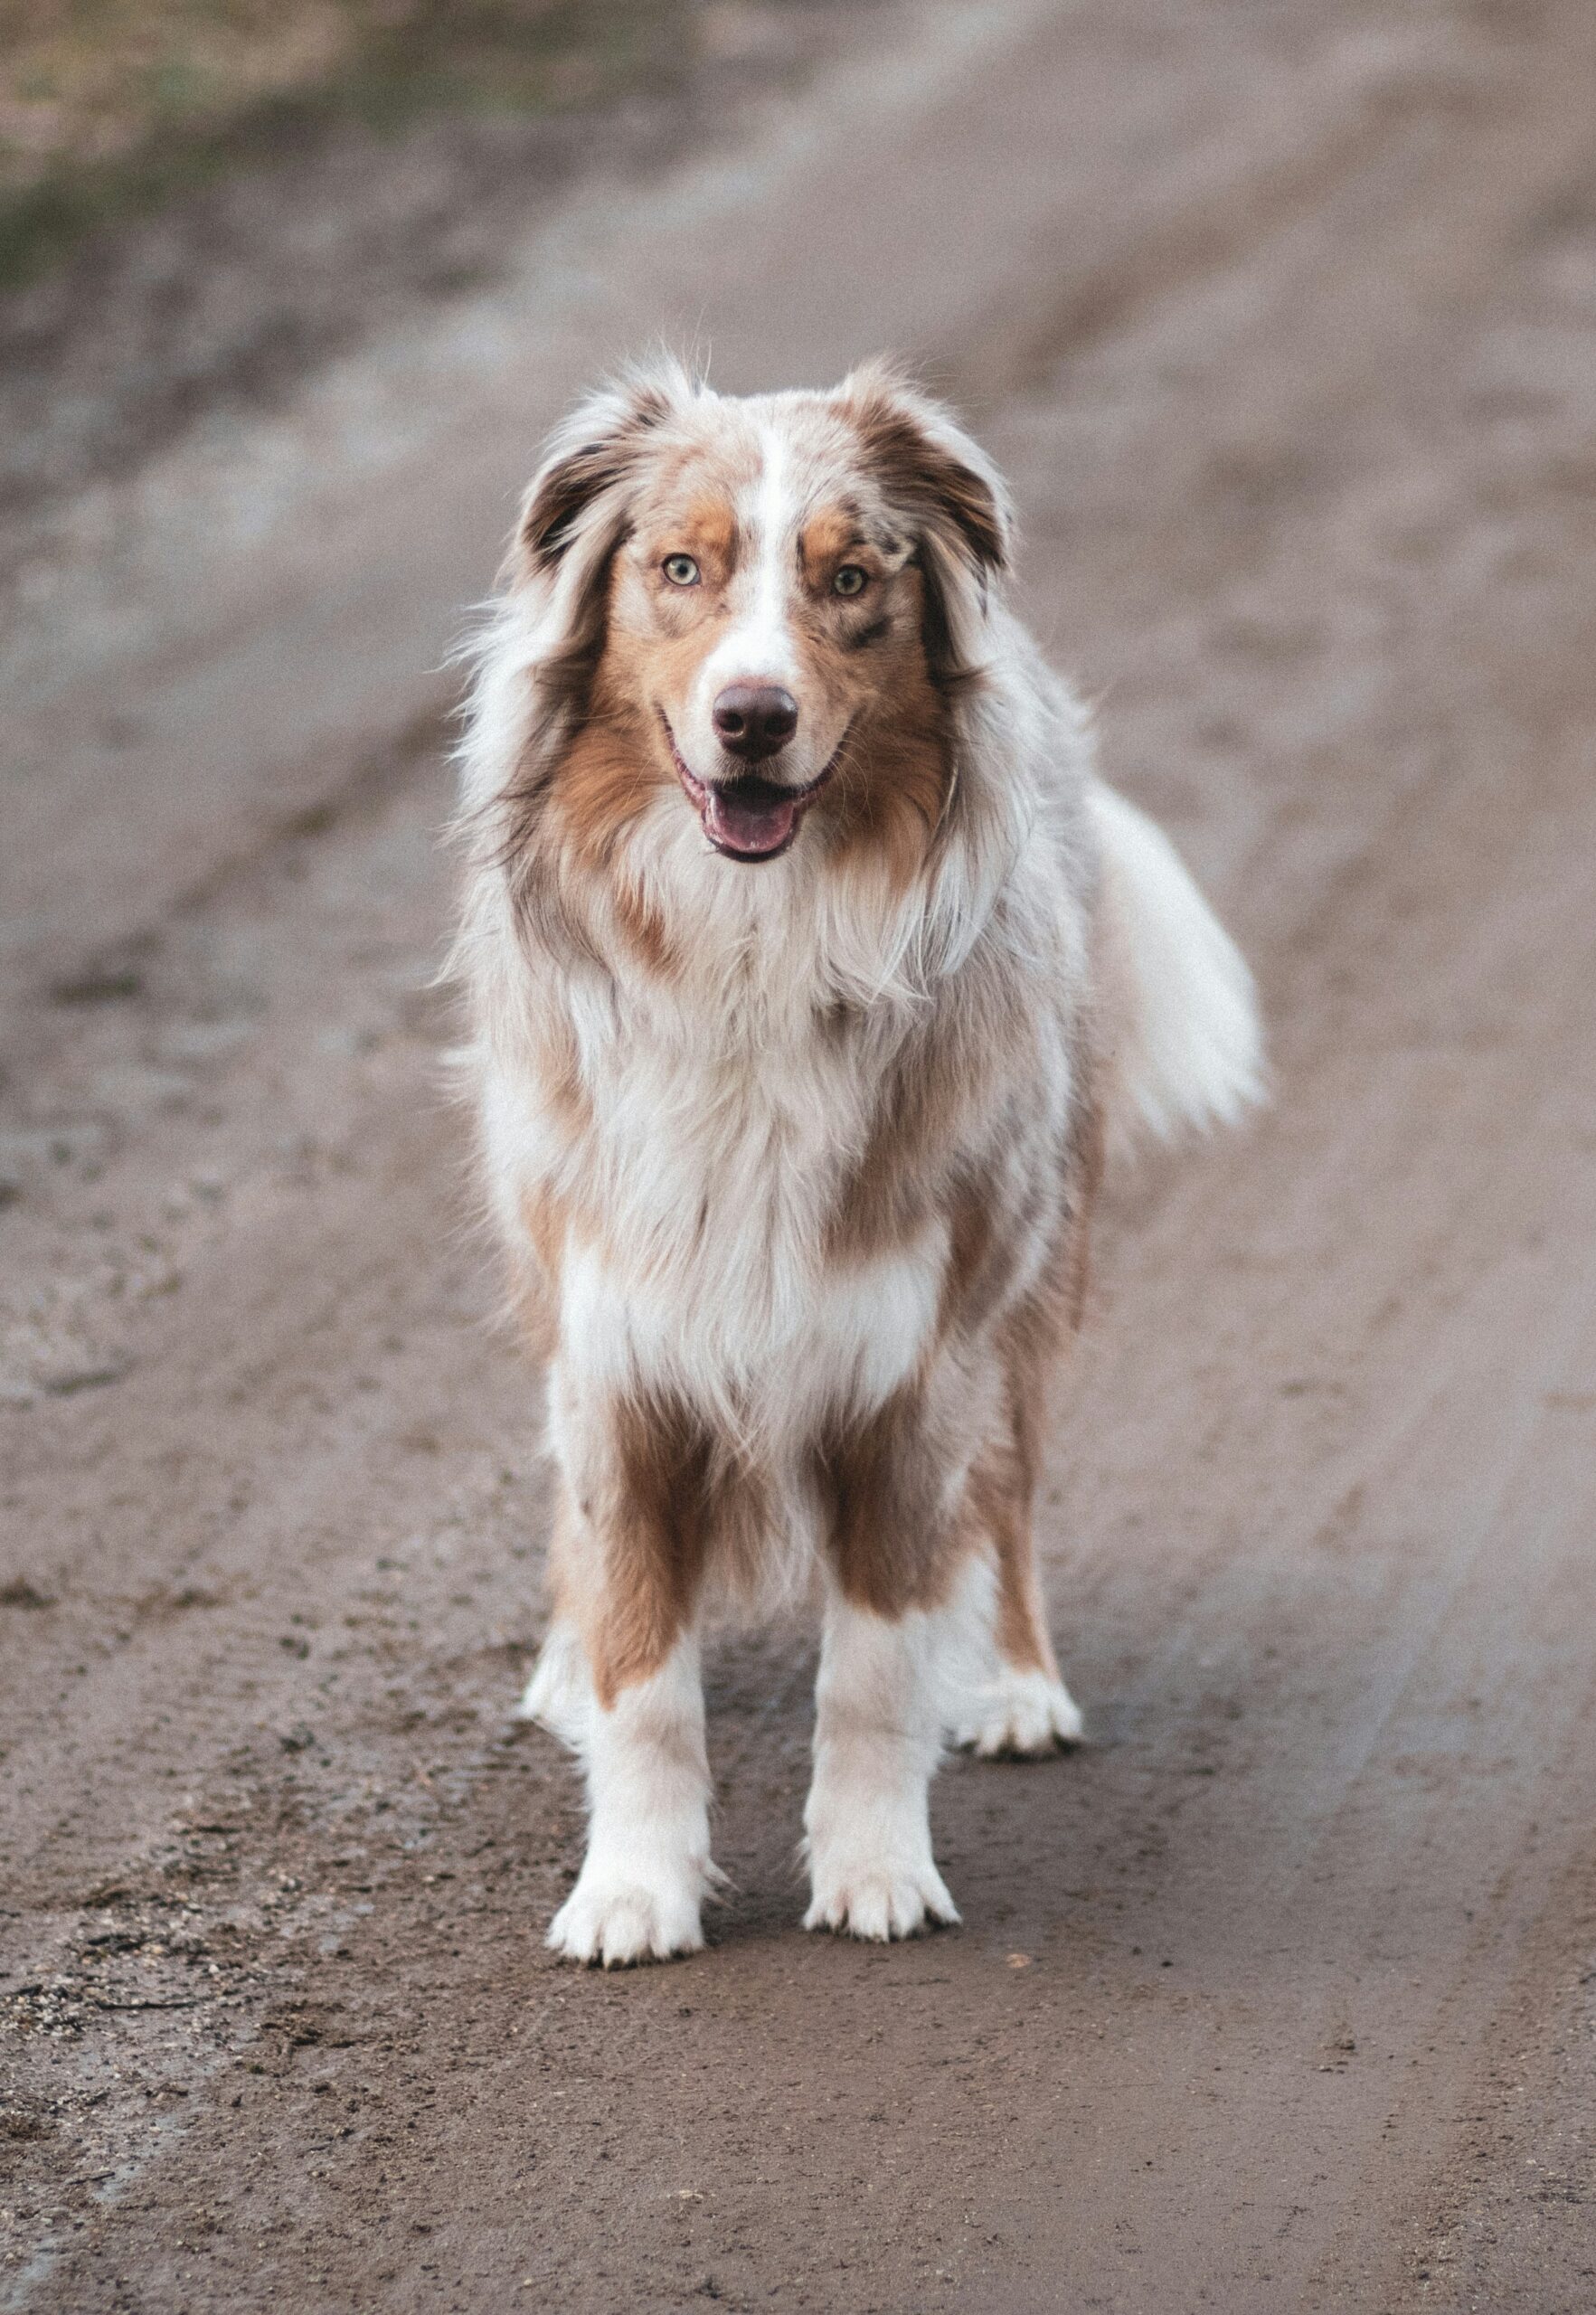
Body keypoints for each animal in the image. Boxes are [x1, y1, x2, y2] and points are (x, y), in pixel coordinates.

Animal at [449, 352, 1260, 1962]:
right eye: (679, 569)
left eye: (849, 579)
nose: (754, 717)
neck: (749, 948)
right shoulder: (619, 1346)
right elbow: (646, 1674)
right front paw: (630, 1888)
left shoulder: (905, 1360)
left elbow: (875, 1667)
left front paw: (876, 1871)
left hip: (1027, 1266)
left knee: (1006, 1497)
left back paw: (1011, 1681)